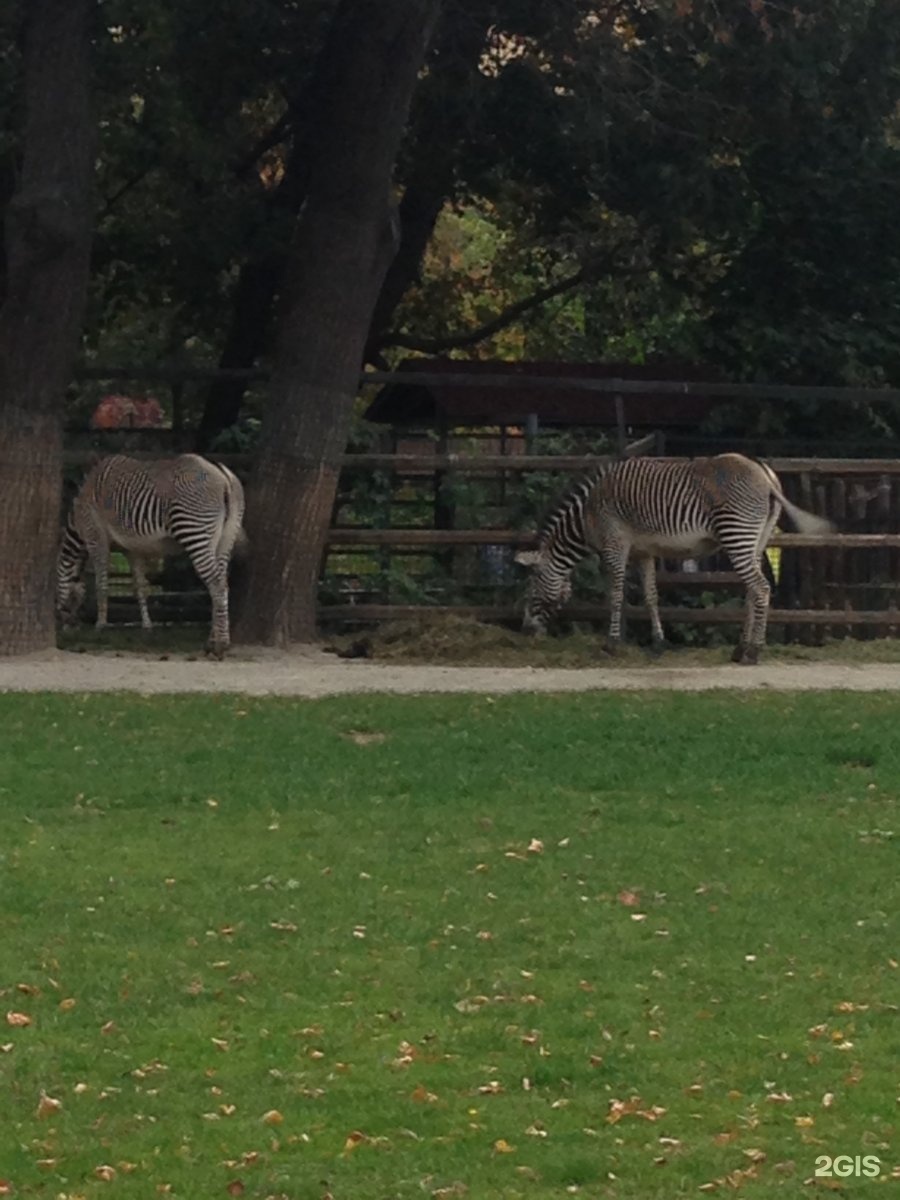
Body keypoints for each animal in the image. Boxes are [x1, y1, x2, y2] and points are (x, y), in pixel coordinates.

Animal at [57, 451, 247, 657]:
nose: (66, 627)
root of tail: (223, 476)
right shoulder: (133, 549)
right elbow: (140, 587)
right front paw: (147, 628)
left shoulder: (96, 537)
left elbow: (102, 584)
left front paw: (100, 626)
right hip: (226, 538)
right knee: (221, 582)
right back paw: (211, 641)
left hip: (194, 530)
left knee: (217, 585)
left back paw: (221, 645)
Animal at [518, 451, 835, 667]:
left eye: (533, 585)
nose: (526, 631)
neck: (586, 518)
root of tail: (766, 475)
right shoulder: (644, 551)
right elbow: (651, 596)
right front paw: (658, 643)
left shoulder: (614, 544)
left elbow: (616, 595)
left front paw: (611, 644)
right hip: (757, 539)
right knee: (752, 590)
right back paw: (740, 649)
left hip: (737, 533)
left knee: (761, 588)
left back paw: (754, 651)